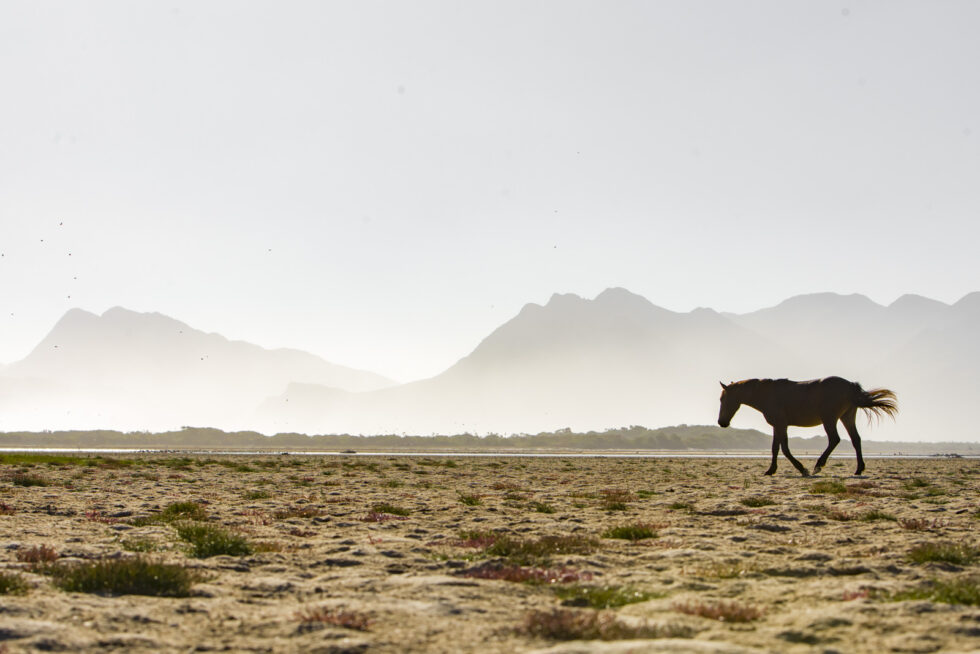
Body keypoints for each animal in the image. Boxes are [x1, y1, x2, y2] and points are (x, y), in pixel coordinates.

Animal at [717, 376, 897, 476]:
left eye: (723, 399)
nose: (721, 422)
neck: (768, 394)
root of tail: (850, 386)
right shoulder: (778, 426)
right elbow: (775, 448)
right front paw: (770, 470)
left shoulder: (781, 425)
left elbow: (785, 449)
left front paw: (802, 469)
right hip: (847, 417)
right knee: (856, 440)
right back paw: (859, 469)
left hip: (829, 419)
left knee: (834, 439)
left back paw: (818, 466)